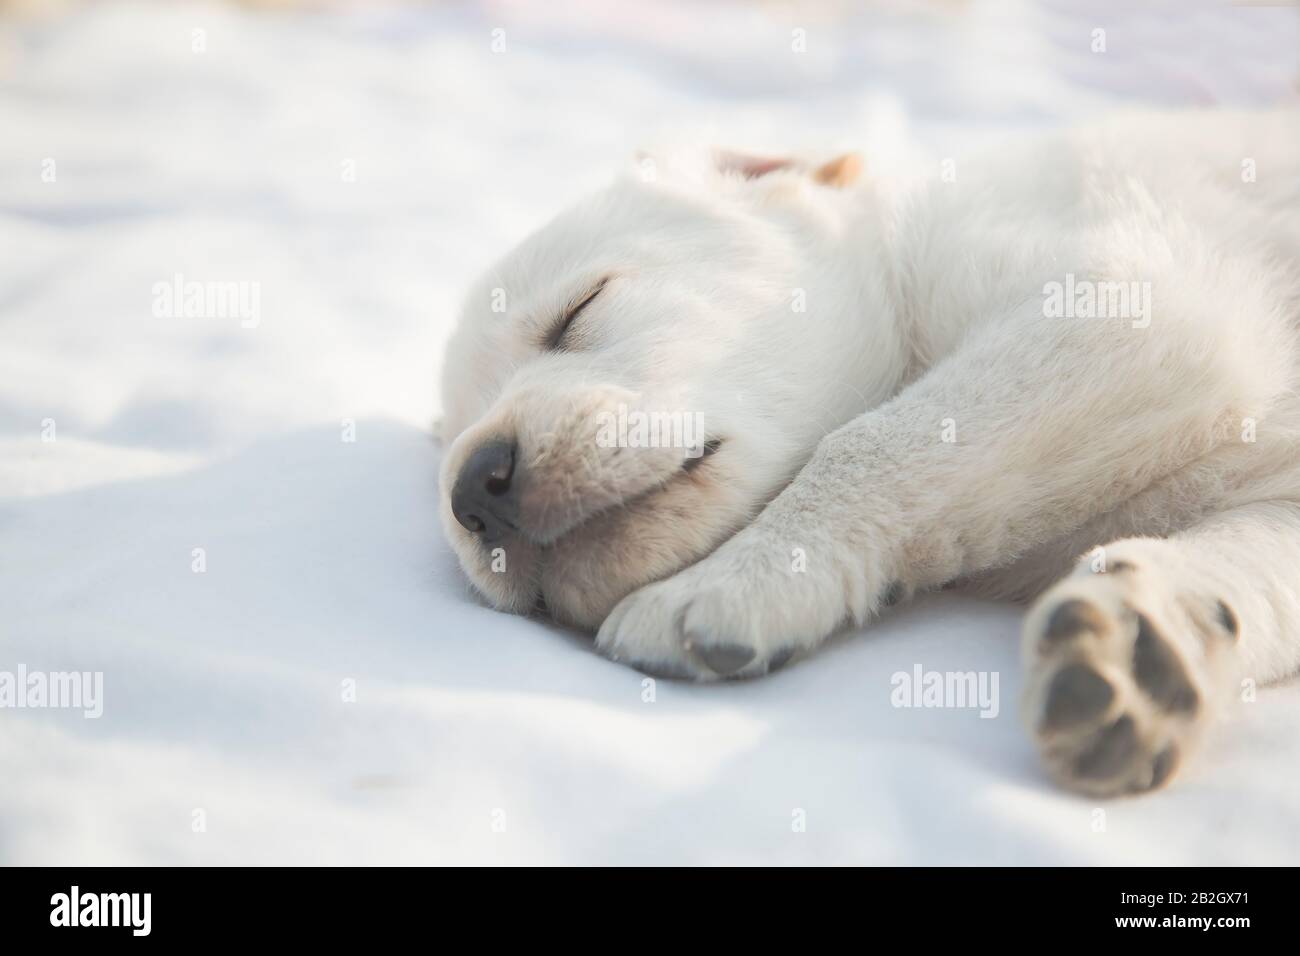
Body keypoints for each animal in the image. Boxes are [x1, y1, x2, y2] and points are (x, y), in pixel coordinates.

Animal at [434, 111, 1300, 796]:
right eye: (450, 441)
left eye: (579, 309)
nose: (474, 488)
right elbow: (1254, 569)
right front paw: (1150, 637)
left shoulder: (1127, 292)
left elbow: (871, 441)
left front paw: (730, 584)